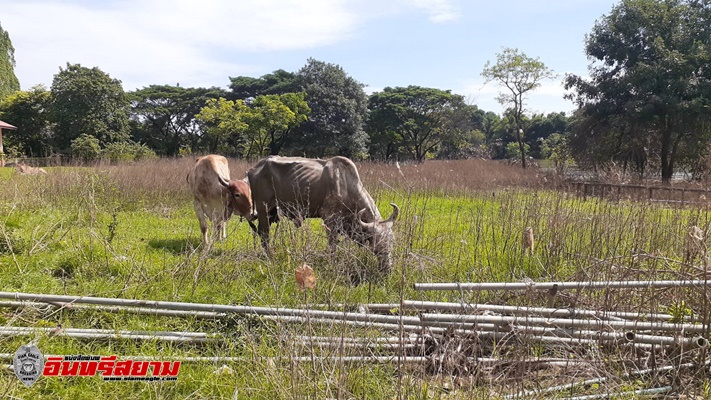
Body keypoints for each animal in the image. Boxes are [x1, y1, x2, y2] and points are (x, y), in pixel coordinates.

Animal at [248, 155, 398, 274]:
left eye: (391, 242)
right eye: (376, 246)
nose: (387, 269)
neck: (346, 185)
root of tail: (255, 168)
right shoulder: (330, 221)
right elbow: (332, 246)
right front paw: (333, 265)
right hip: (263, 209)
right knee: (264, 235)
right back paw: (270, 258)